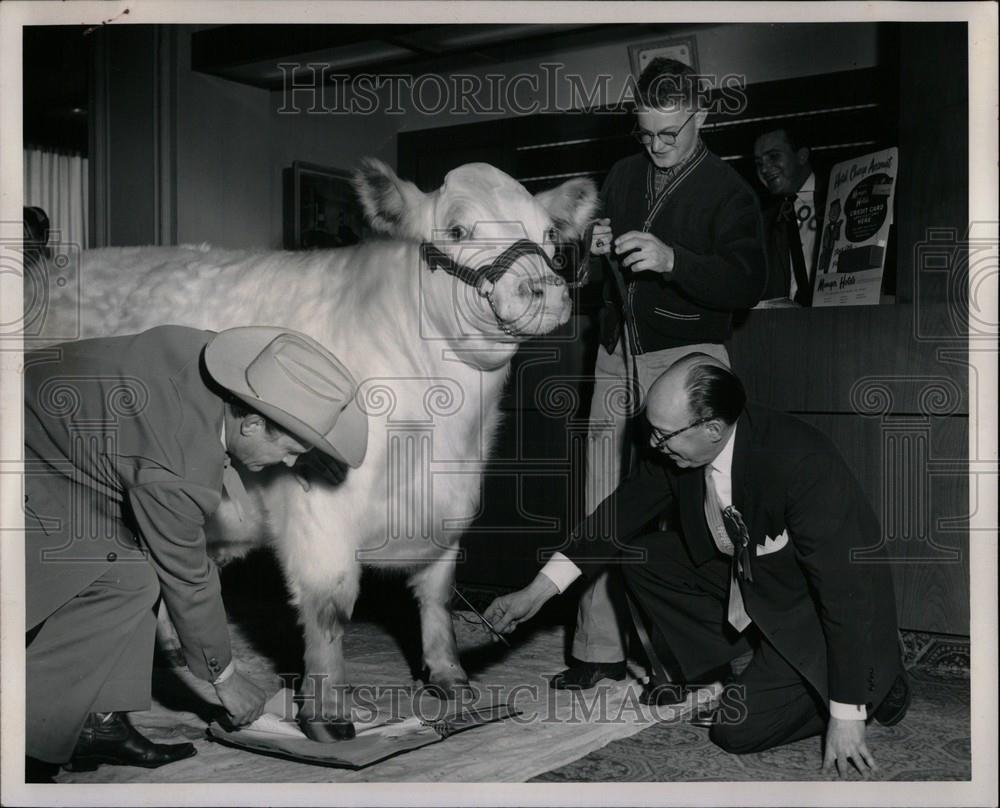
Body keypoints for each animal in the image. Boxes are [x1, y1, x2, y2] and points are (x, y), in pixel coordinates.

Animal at [43, 161, 596, 740]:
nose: (544, 289)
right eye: (457, 229)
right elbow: (330, 606)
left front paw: (451, 680)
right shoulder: (318, 509)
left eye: (550, 235)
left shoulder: (448, 509)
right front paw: (327, 710)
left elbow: (436, 595)